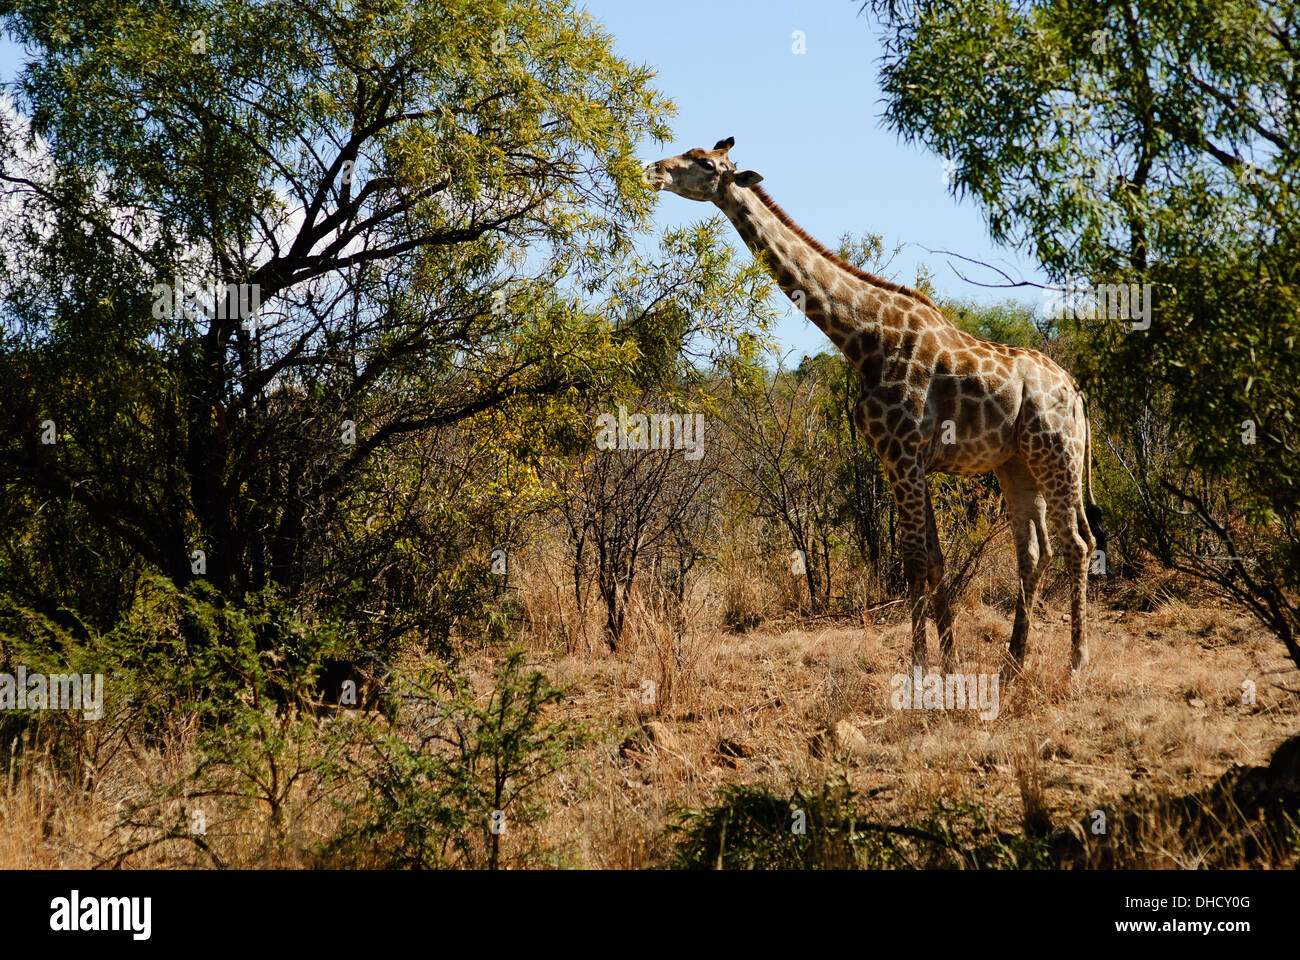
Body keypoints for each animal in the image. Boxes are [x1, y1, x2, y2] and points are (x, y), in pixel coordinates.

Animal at [650, 136, 1107, 671]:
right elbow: (933, 559)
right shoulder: (907, 458)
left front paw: (919, 666)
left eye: (705, 163)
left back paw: (1076, 662)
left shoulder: (902, 452)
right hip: (1016, 462)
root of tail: (1076, 393)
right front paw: (949, 662)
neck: (862, 337)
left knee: (1078, 543)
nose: (654, 170)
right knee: (1035, 551)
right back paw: (1013, 664)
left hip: (1057, 452)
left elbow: (913, 559)